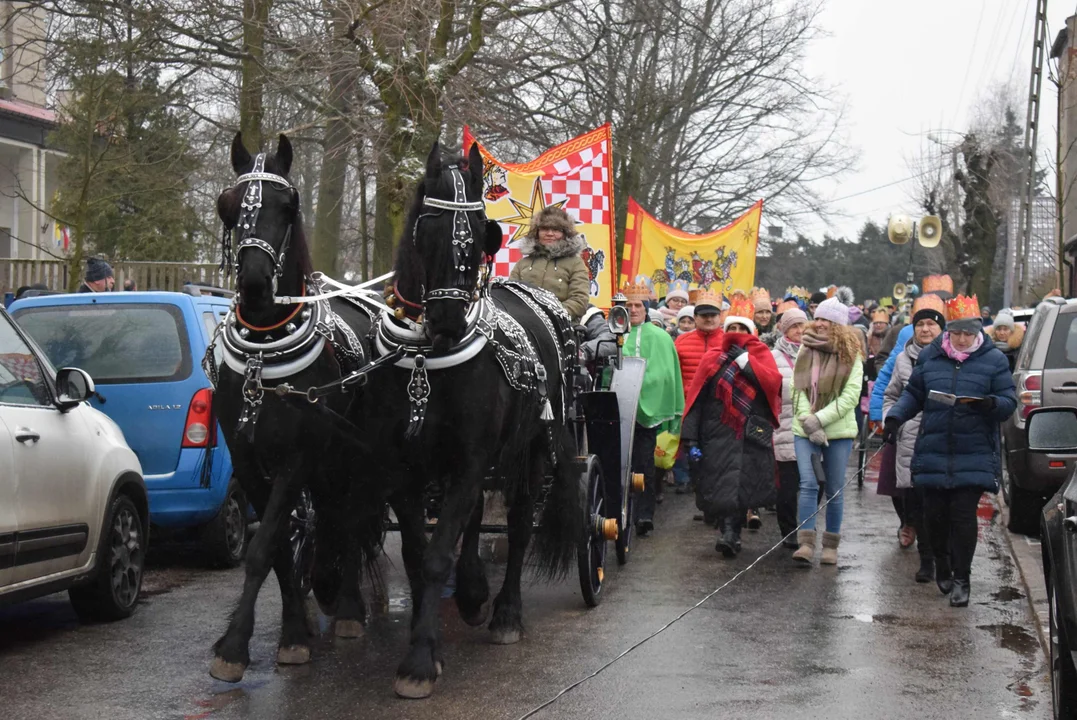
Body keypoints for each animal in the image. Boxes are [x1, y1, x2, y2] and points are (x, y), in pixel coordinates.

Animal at [207, 133, 381, 680]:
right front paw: (293, 632)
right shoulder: (248, 460)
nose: (254, 283)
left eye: (290, 206)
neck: (264, 352)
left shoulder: (297, 456)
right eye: (227, 205)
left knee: (350, 515)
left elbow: (263, 546)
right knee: (330, 516)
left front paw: (235, 647)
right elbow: (280, 545)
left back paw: (347, 607)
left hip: (355, 454)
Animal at [348, 139, 585, 697]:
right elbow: (418, 554)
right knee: (477, 517)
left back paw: (504, 613)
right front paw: (427, 639)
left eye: (480, 233)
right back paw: (475, 592)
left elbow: (439, 555)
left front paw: (419, 659)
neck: (424, 359)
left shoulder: (470, 460)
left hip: (534, 448)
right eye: (427, 228)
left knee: (519, 525)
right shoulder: (404, 467)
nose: (449, 319)